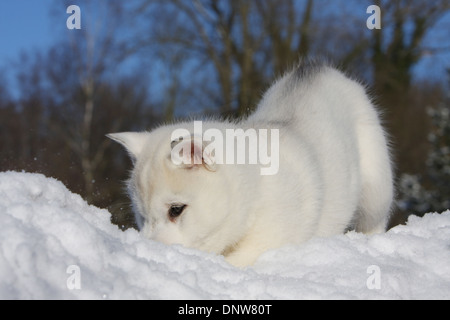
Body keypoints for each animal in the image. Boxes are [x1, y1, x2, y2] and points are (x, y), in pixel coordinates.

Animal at [108, 62, 390, 268]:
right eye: (142, 216)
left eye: (176, 210)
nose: (151, 251)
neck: (256, 189)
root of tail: (319, 69)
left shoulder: (267, 244)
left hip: (375, 190)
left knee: (374, 221)